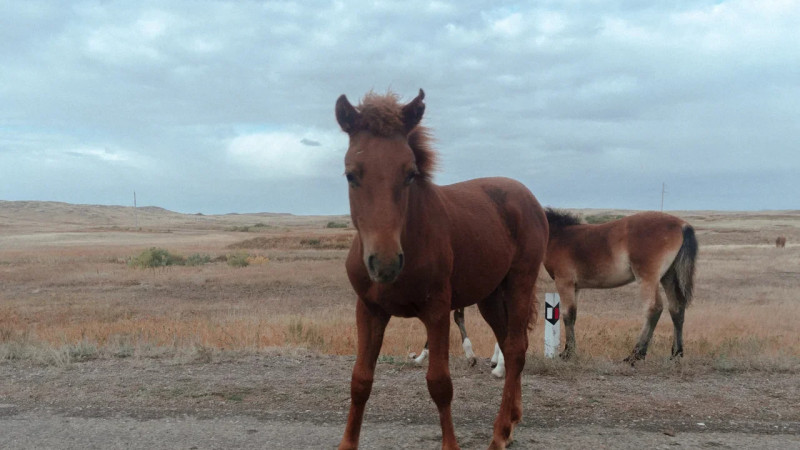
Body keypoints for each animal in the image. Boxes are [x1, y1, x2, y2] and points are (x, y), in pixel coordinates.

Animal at [334, 89, 548, 450]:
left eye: (409, 172)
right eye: (351, 174)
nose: (386, 263)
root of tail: (526, 195)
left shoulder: (437, 311)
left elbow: (439, 383)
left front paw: (451, 443)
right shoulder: (369, 310)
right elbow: (360, 380)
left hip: (520, 282)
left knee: (516, 350)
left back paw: (500, 432)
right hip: (491, 296)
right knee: (509, 344)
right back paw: (512, 421)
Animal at [548, 209, 696, 364]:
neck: (559, 236)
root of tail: (682, 225)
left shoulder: (564, 283)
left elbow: (568, 315)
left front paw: (568, 353)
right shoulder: (575, 287)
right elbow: (573, 315)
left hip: (648, 278)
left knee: (654, 308)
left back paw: (636, 355)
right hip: (669, 277)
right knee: (676, 308)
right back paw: (676, 353)